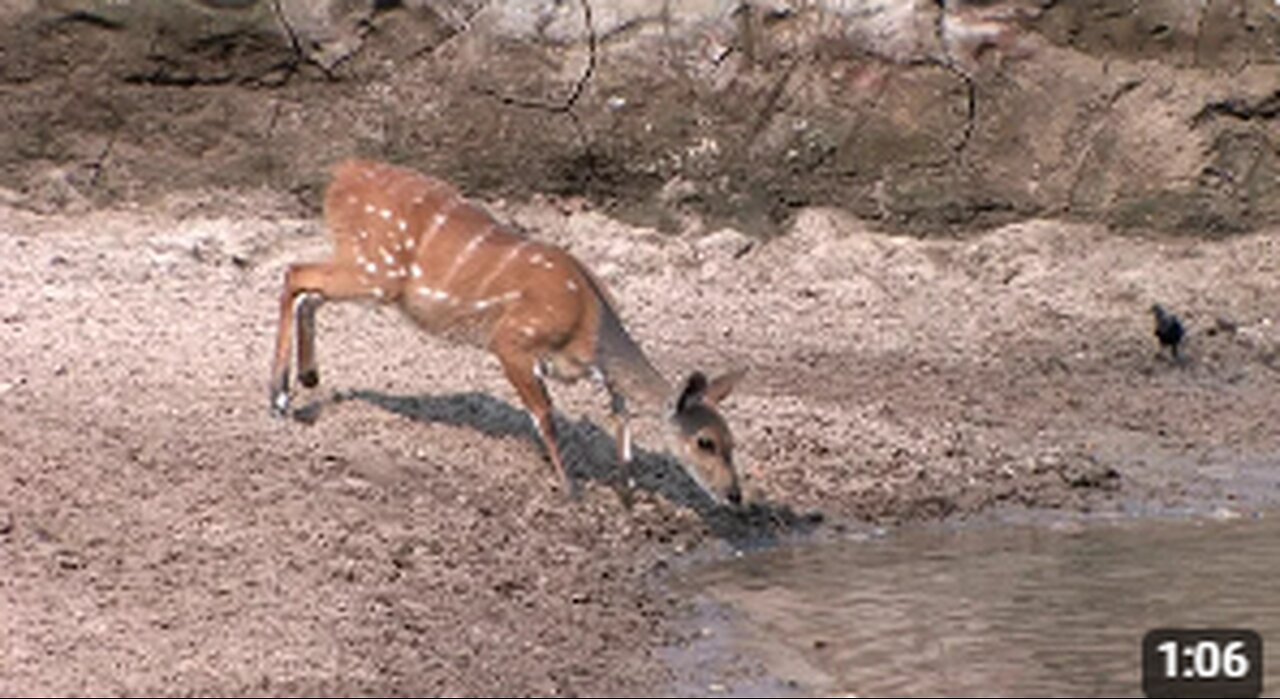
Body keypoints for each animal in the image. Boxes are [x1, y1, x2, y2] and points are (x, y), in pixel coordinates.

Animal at [271, 160, 747, 504]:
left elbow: (620, 412)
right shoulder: (512, 343)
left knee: (309, 293)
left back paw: (307, 379)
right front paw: (572, 491)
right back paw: (278, 398)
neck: (590, 323)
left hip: (370, 275)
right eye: (705, 442)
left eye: (732, 442)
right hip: (377, 271)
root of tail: (342, 174)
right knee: (296, 272)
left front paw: (628, 494)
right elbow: (546, 416)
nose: (735, 496)